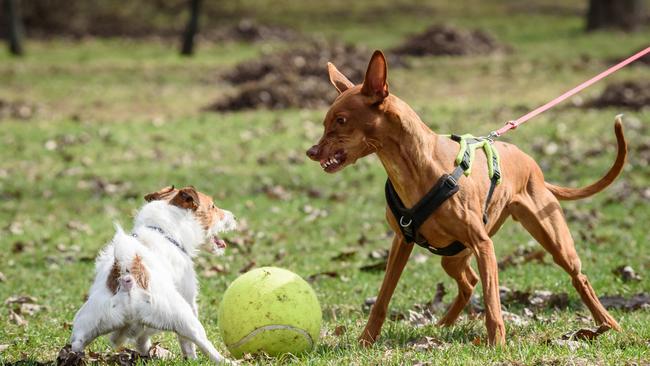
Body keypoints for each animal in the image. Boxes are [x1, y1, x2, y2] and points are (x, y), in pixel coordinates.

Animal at [70, 186, 235, 364]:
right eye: (212, 206)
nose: (234, 216)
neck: (163, 232)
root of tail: (129, 279)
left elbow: (142, 340)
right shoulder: (189, 297)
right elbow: (187, 344)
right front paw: (191, 359)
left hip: (87, 324)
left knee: (77, 344)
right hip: (184, 318)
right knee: (204, 344)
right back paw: (227, 361)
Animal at [306, 50, 624, 344]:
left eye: (341, 120)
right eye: (325, 122)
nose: (311, 152)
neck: (416, 167)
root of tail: (534, 167)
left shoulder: (484, 246)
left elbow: (492, 303)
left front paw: (497, 345)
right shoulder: (401, 242)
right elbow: (383, 298)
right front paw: (366, 340)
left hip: (552, 240)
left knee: (579, 278)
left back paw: (608, 324)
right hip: (454, 256)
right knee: (469, 282)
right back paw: (443, 324)